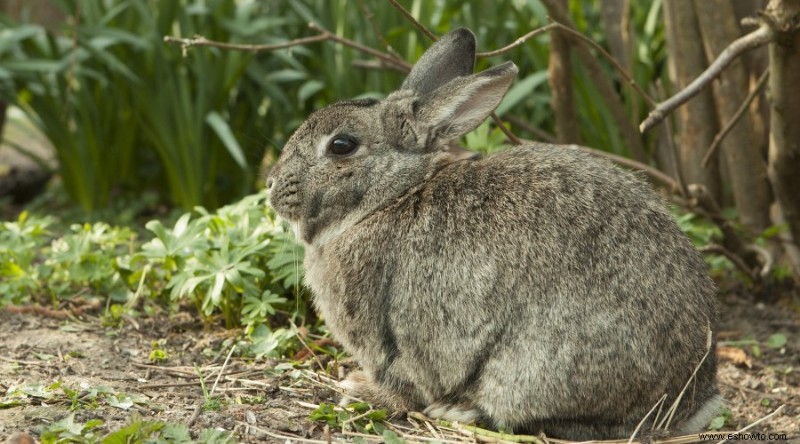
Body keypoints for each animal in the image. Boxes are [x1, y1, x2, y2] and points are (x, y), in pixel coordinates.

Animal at [266, 27, 720, 440]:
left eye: (341, 145)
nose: (271, 184)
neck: (393, 194)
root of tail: (691, 400)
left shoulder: (389, 340)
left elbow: (403, 384)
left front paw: (360, 391)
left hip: (536, 368)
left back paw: (460, 410)